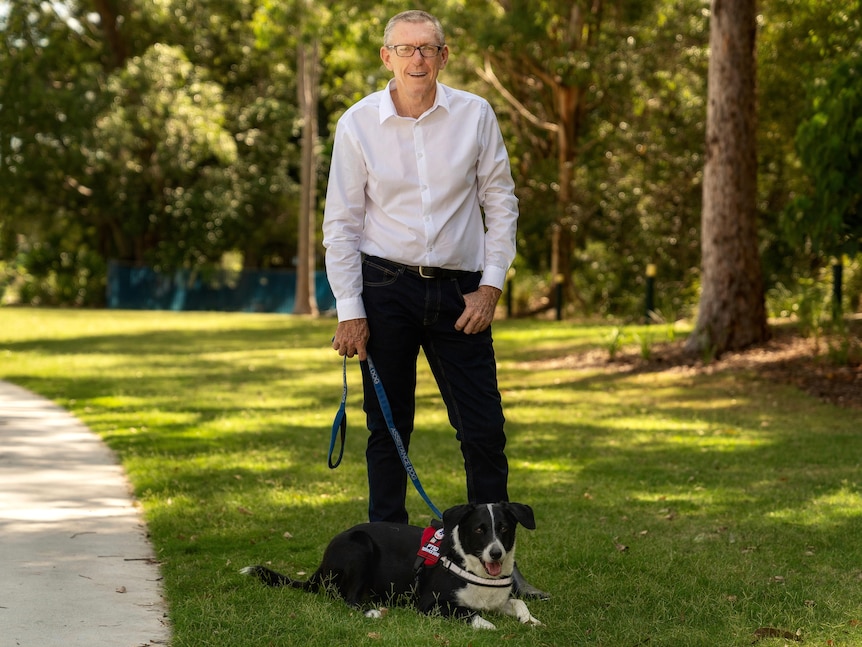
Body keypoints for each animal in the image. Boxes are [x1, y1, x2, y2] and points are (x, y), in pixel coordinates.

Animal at [241, 502, 540, 632]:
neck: (469, 565)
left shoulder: (497, 600)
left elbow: (518, 602)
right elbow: (467, 611)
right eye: (479, 529)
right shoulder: (430, 604)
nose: (496, 553)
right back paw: (371, 611)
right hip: (360, 547)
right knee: (347, 598)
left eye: (504, 528)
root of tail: (322, 562)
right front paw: (485, 624)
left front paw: (530, 619)